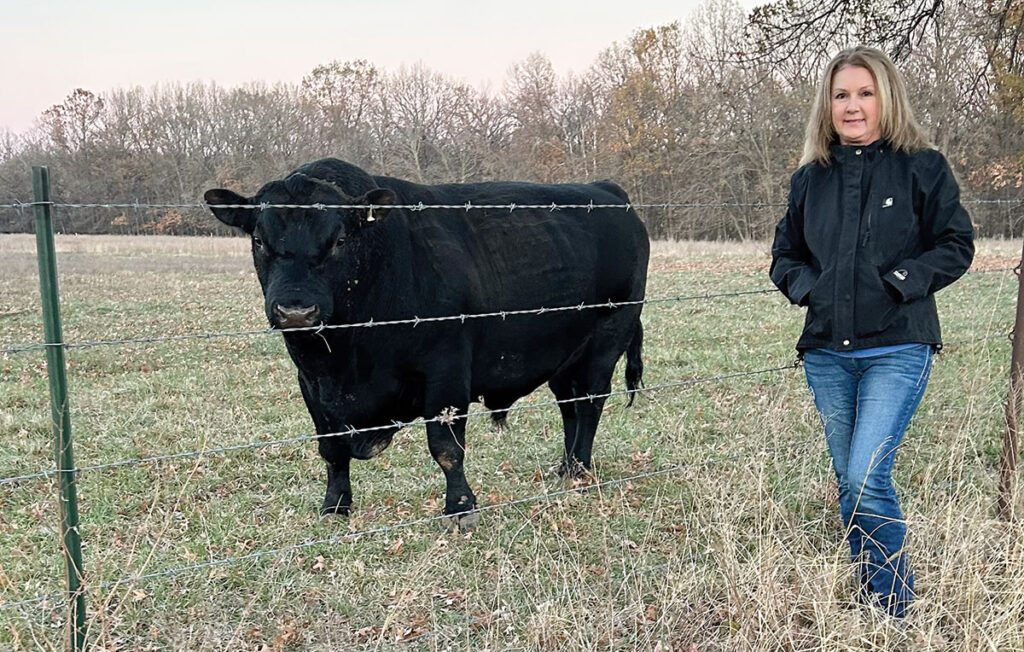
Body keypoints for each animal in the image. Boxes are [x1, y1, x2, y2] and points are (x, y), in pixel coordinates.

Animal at [206, 158, 647, 528]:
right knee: (568, 406)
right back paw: (565, 467)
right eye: (259, 240)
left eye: (340, 240)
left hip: (607, 338)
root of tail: (607, 190)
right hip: (563, 353)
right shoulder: (312, 385)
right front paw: (335, 506)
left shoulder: (446, 370)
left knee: (589, 403)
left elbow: (446, 447)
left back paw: (580, 470)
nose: (295, 310)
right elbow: (331, 450)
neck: (345, 359)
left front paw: (461, 508)